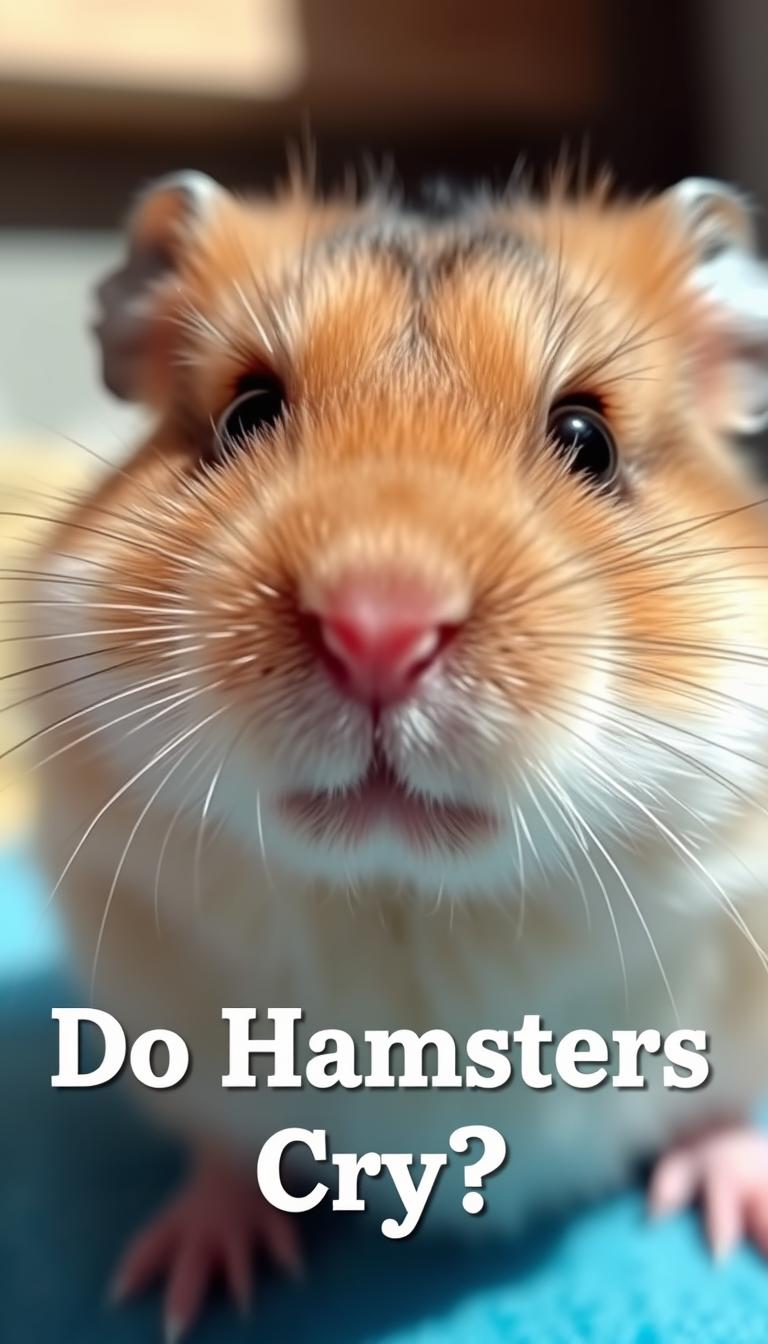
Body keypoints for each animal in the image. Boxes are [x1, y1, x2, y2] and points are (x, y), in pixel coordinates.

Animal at [26, 166, 768, 1337]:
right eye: (246, 412)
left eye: (588, 439)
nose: (379, 626)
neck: (406, 900)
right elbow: (223, 1158)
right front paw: (173, 1287)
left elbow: (723, 1109)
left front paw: (740, 1222)